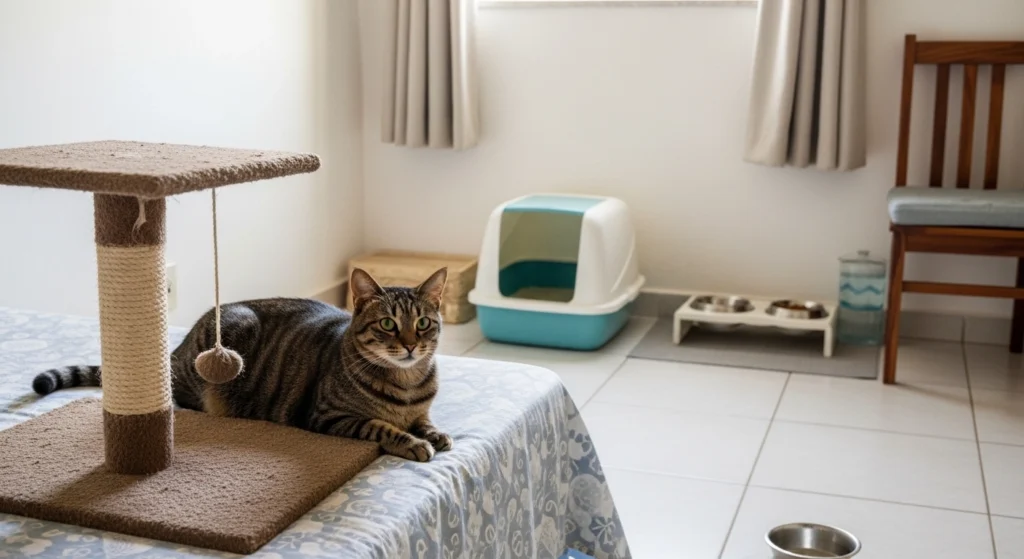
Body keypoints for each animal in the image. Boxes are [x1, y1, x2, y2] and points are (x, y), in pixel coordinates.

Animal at [31, 267, 453, 462]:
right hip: (231, 335)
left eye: (423, 323)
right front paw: (414, 443)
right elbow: (382, 427)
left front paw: (434, 434)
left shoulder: (420, 408)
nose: (412, 345)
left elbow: (426, 420)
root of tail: (175, 351)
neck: (408, 380)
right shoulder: (329, 415)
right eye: (388, 325)